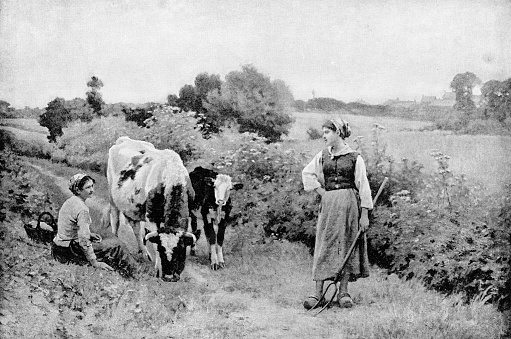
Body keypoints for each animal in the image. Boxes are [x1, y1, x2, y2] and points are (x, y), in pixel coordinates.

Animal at [107, 135, 197, 282]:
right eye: (161, 250)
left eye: (180, 250)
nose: (169, 276)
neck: (172, 176)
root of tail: (125, 139)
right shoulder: (152, 217)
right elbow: (153, 240)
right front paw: (157, 269)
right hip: (112, 198)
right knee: (115, 221)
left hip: (132, 207)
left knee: (136, 228)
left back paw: (143, 253)